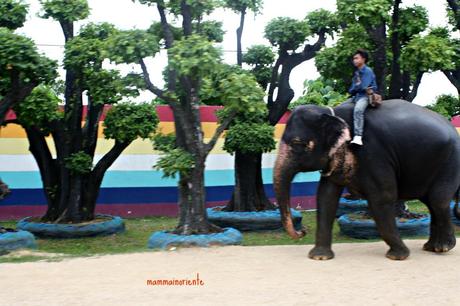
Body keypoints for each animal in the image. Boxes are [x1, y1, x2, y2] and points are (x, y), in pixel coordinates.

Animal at [274, 100, 460, 260]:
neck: (333, 113)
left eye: (297, 144)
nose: (303, 231)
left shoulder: (374, 154)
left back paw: (443, 247)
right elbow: (325, 197)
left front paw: (398, 256)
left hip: (450, 162)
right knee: (431, 202)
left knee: (438, 201)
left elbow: (382, 198)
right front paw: (319, 257)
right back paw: (431, 247)